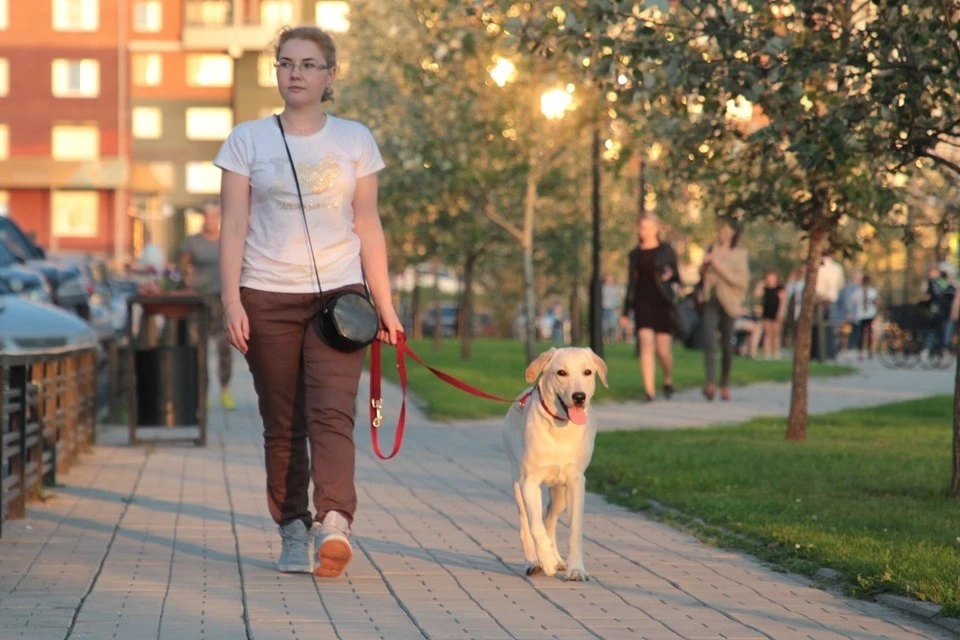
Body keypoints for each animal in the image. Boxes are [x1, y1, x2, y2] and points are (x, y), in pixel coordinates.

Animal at [502, 348, 608, 584]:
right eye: (561, 372)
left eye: (588, 372)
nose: (579, 397)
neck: (561, 426)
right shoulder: (529, 482)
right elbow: (535, 526)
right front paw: (546, 561)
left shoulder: (577, 481)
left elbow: (574, 529)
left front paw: (575, 569)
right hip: (516, 481)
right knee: (527, 524)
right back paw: (535, 562)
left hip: (560, 493)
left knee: (549, 519)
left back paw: (557, 558)